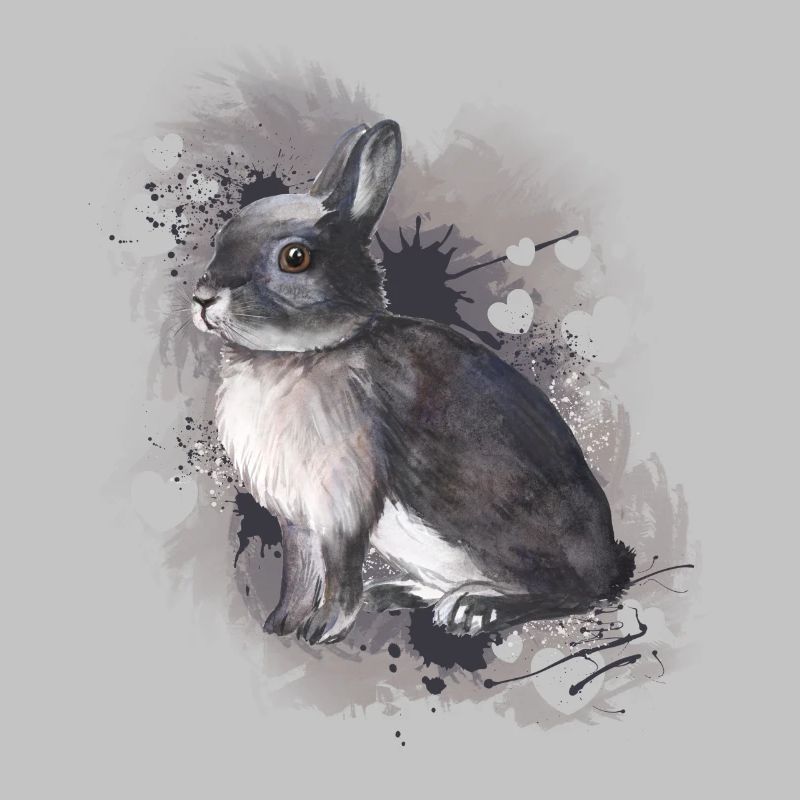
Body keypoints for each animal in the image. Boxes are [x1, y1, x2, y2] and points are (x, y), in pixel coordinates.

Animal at [191, 119, 636, 645]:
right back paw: (399, 593)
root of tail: (610, 562)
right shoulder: (297, 518)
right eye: (221, 236)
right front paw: (281, 623)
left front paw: (322, 629)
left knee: (572, 595)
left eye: (294, 258)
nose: (202, 297)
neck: (300, 355)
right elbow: (298, 573)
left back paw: (475, 609)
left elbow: (339, 572)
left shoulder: (344, 505)